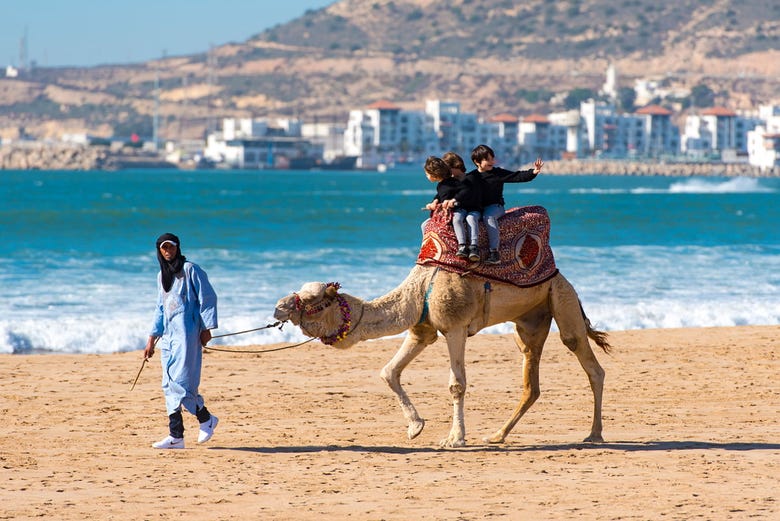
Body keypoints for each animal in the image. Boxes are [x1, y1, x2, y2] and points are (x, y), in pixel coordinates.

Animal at [272, 264, 608, 446]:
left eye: (312, 301)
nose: (278, 307)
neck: (418, 290)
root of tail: (563, 277)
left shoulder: (455, 327)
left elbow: (456, 384)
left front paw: (454, 438)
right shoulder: (421, 330)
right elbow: (389, 371)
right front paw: (415, 427)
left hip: (561, 298)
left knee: (588, 361)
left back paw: (594, 435)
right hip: (530, 322)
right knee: (531, 383)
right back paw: (497, 436)